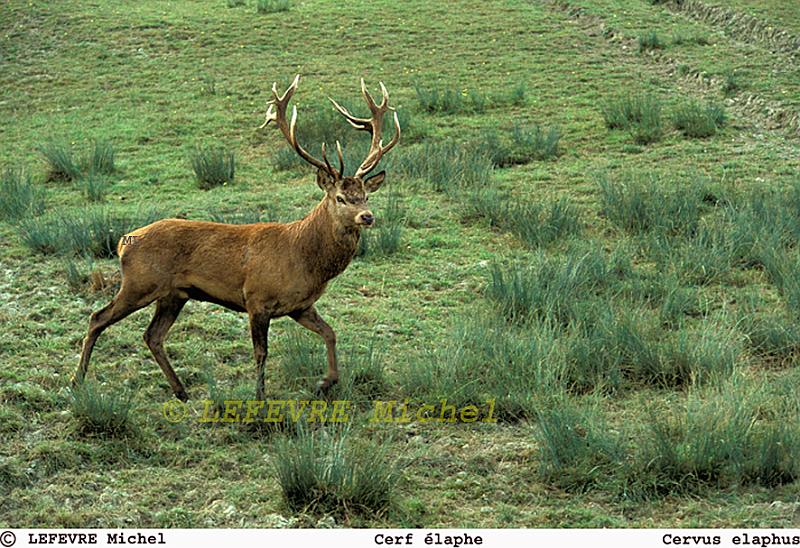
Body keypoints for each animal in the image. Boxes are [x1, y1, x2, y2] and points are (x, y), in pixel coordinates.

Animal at [72, 75, 400, 400]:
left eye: (366, 195)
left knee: (152, 335)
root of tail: (122, 241)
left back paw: (181, 390)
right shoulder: (257, 299)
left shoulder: (301, 306)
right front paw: (260, 398)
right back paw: (78, 381)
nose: (367, 217)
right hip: (140, 283)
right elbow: (261, 353)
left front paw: (326, 381)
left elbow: (330, 333)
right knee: (98, 318)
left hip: (173, 294)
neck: (304, 259)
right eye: (341, 198)